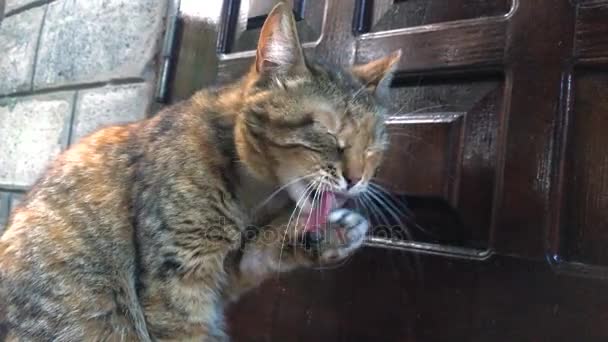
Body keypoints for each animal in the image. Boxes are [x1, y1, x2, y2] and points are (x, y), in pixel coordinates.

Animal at [0, 2, 400, 340]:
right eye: (329, 132)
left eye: (373, 146)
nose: (358, 178)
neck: (253, 196)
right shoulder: (180, 281)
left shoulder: (225, 276)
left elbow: (260, 253)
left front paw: (328, 233)